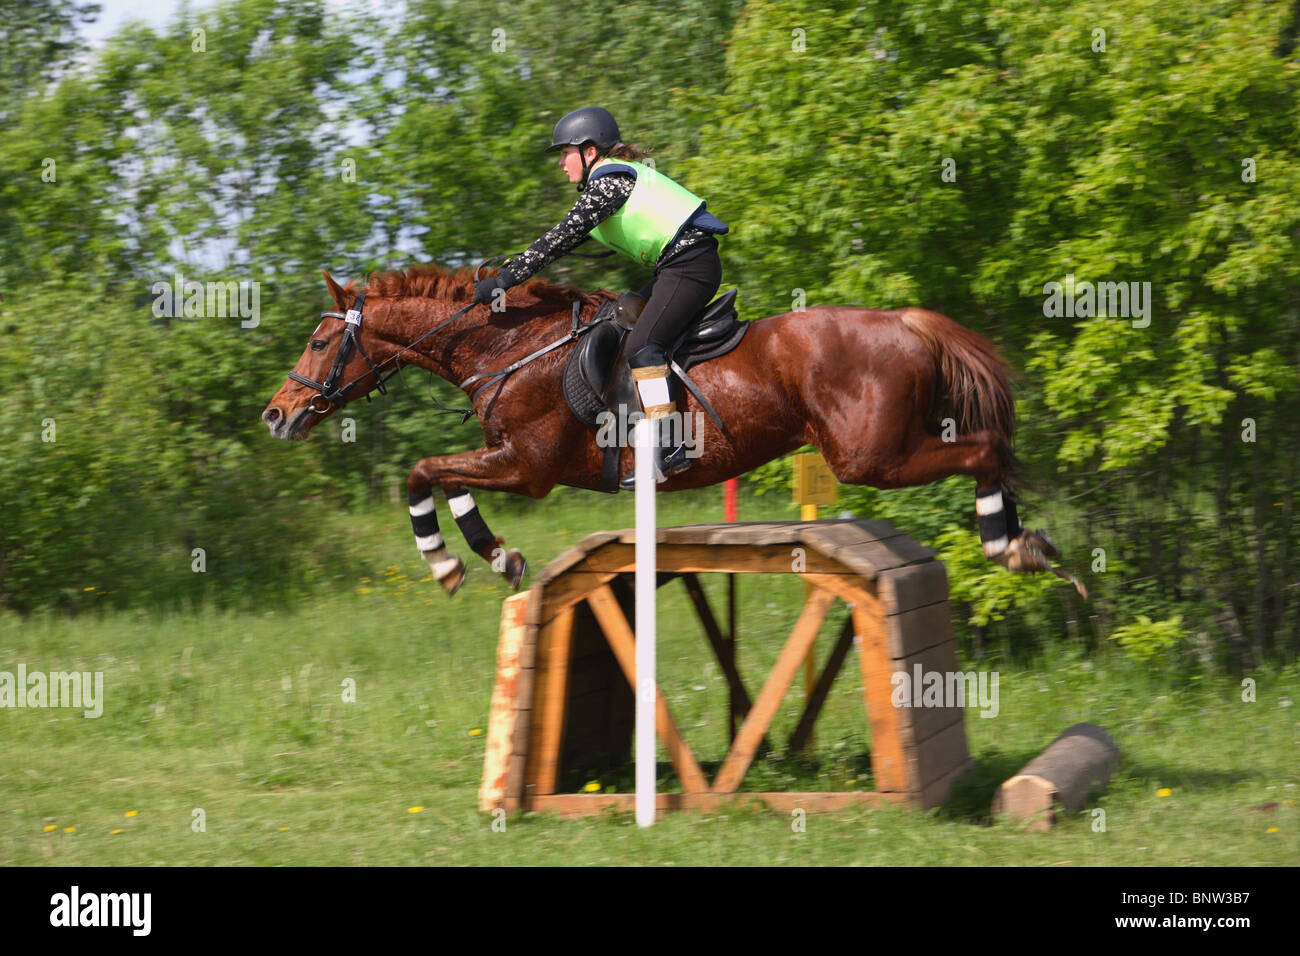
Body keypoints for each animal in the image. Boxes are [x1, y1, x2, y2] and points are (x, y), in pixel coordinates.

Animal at [258, 265, 1081, 598]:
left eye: (320, 342)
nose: (277, 415)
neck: (509, 346)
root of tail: (905, 321)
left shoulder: (527, 466)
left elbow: (423, 471)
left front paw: (451, 564)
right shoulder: (508, 461)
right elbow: (440, 476)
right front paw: (499, 557)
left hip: (868, 456)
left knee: (985, 449)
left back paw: (1013, 546)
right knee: (986, 451)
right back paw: (1028, 543)